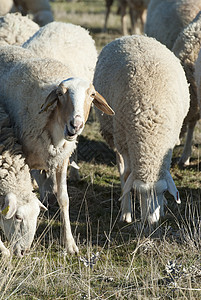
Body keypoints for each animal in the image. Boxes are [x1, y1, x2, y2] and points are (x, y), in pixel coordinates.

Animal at [93, 34, 189, 225]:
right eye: (139, 192)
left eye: (162, 191)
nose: (150, 223)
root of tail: (133, 36)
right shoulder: (125, 142)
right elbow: (126, 176)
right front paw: (126, 212)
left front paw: (163, 206)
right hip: (115, 135)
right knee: (122, 169)